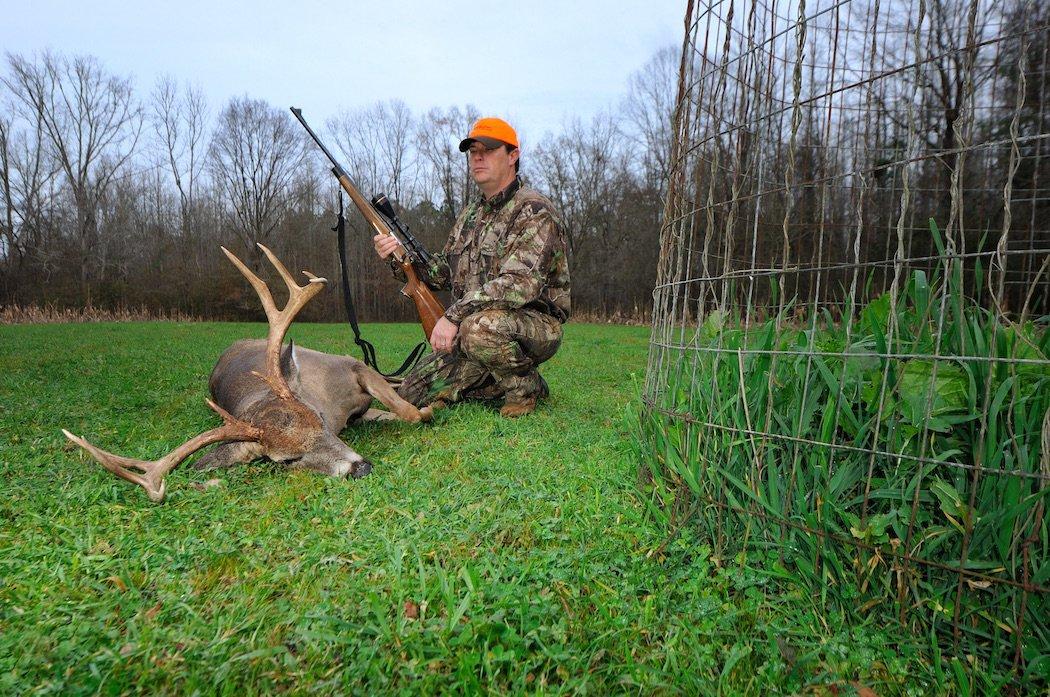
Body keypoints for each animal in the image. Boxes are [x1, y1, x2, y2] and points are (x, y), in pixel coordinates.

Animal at [62, 244, 430, 501]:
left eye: (320, 420)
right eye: (287, 461)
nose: (361, 468)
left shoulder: (350, 364)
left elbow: (406, 410)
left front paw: (427, 407)